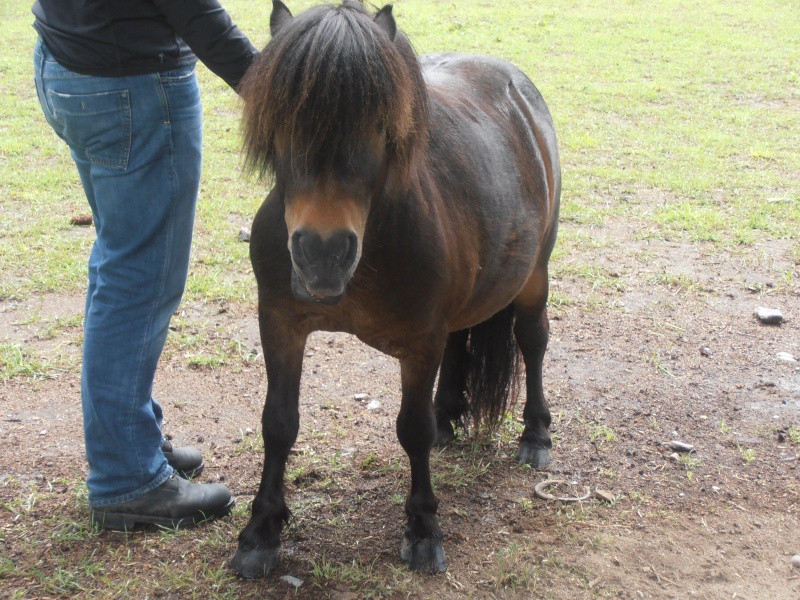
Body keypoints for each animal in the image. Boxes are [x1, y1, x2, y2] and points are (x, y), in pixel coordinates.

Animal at [228, 0, 560, 576]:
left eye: (380, 124)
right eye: (283, 119)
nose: (322, 253)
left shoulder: (419, 341)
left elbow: (412, 430)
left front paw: (423, 529)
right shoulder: (281, 324)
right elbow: (278, 423)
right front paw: (261, 532)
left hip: (534, 276)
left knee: (532, 342)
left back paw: (534, 434)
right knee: (461, 341)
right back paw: (449, 415)